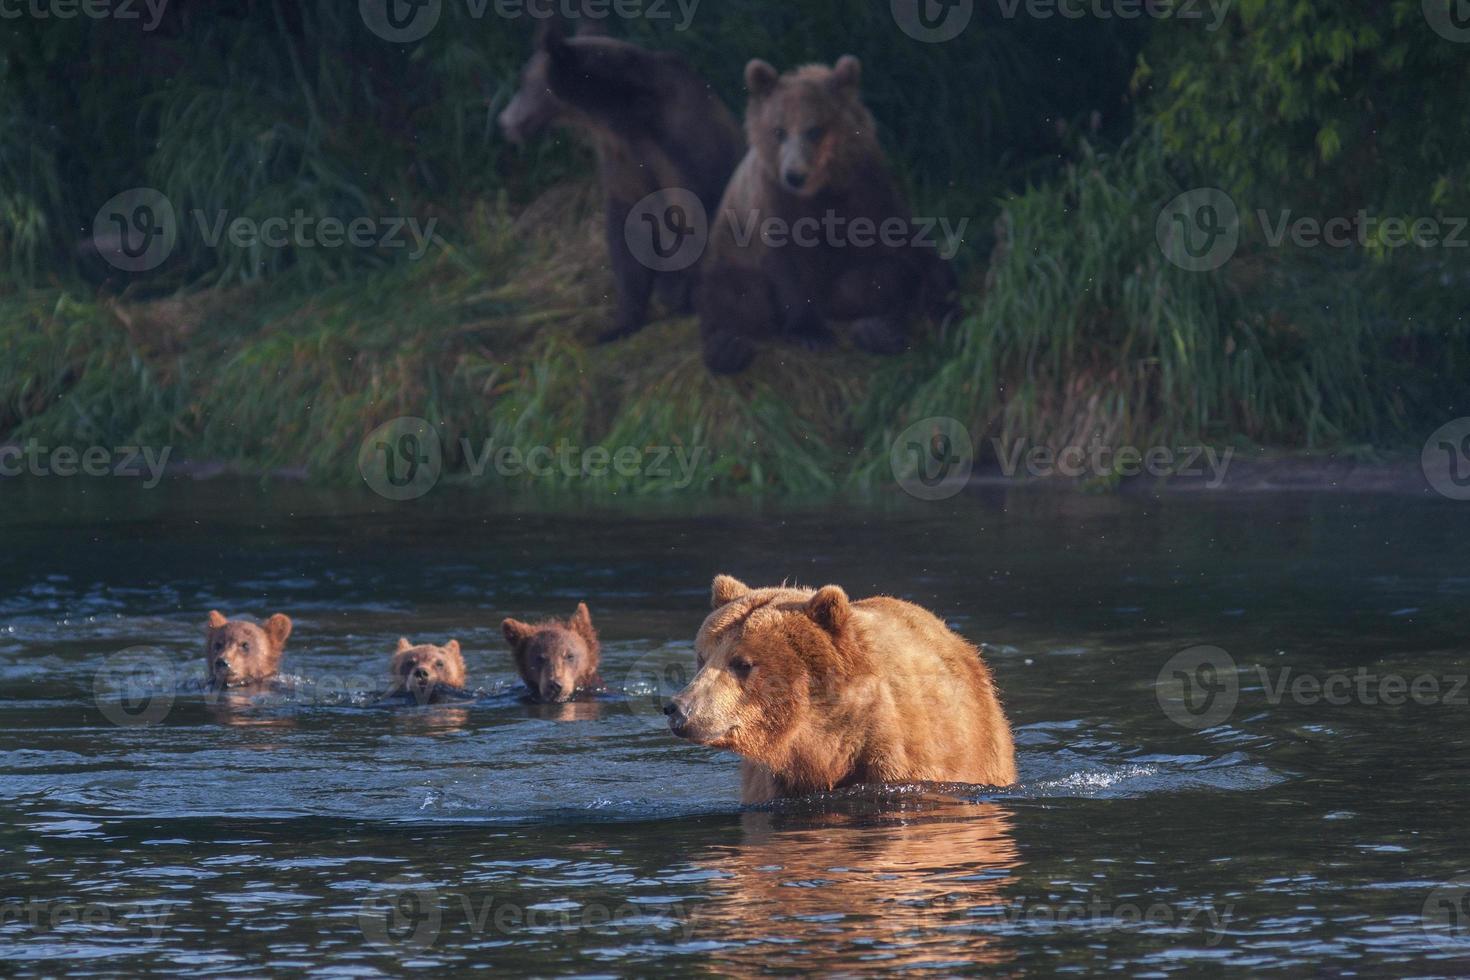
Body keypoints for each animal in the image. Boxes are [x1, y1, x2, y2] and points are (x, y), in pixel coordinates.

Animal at [496, 13, 746, 345]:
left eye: (524, 81)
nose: (504, 121)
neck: (620, 113)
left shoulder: (681, 148)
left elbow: (694, 216)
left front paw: (684, 299)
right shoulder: (622, 160)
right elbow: (627, 231)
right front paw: (619, 324)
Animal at [696, 56, 958, 376]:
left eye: (814, 129)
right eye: (778, 130)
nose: (794, 175)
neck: (822, 190)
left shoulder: (867, 186)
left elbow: (902, 238)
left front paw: (943, 295)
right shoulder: (774, 202)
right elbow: (788, 263)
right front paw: (810, 332)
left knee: (875, 278)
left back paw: (878, 328)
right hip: (727, 257)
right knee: (735, 295)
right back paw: (728, 348)